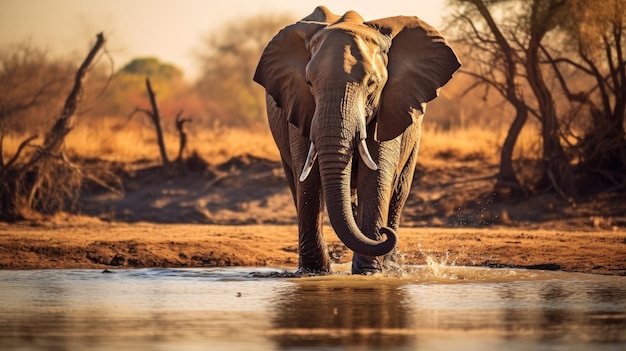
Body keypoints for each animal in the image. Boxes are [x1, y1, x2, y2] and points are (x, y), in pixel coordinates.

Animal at [252, 6, 458, 276]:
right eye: (308, 83)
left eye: (372, 84)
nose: (383, 233)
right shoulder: (298, 106)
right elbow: (308, 180)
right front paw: (314, 273)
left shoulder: (391, 104)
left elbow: (377, 175)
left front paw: (369, 272)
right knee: (296, 181)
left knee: (400, 190)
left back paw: (390, 265)